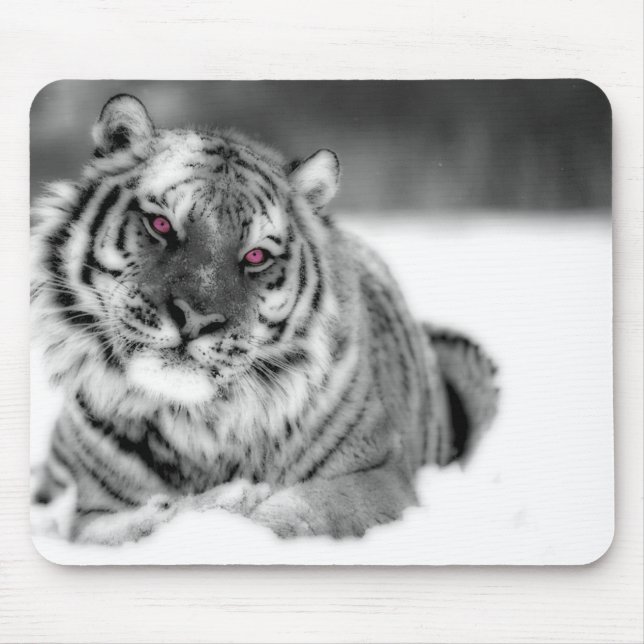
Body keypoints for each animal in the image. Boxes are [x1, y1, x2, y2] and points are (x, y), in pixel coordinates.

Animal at [30, 94, 499, 544]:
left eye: (256, 256)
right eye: (161, 224)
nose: (195, 319)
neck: (196, 427)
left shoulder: (380, 477)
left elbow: (294, 513)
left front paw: (235, 505)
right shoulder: (89, 510)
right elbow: (120, 530)